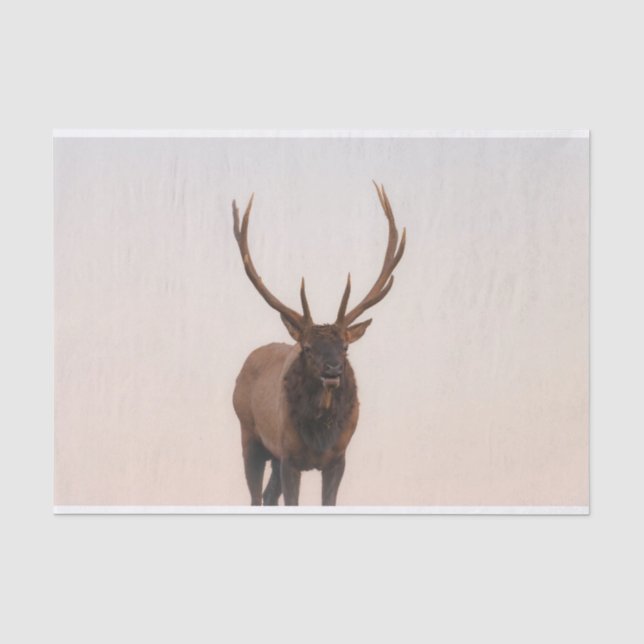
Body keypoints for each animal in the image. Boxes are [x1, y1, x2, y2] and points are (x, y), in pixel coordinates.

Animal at [231, 182, 406, 506]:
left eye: (345, 348)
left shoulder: (338, 458)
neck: (319, 439)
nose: (333, 370)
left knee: (268, 495)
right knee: (256, 496)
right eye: (308, 348)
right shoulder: (289, 455)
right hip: (249, 435)